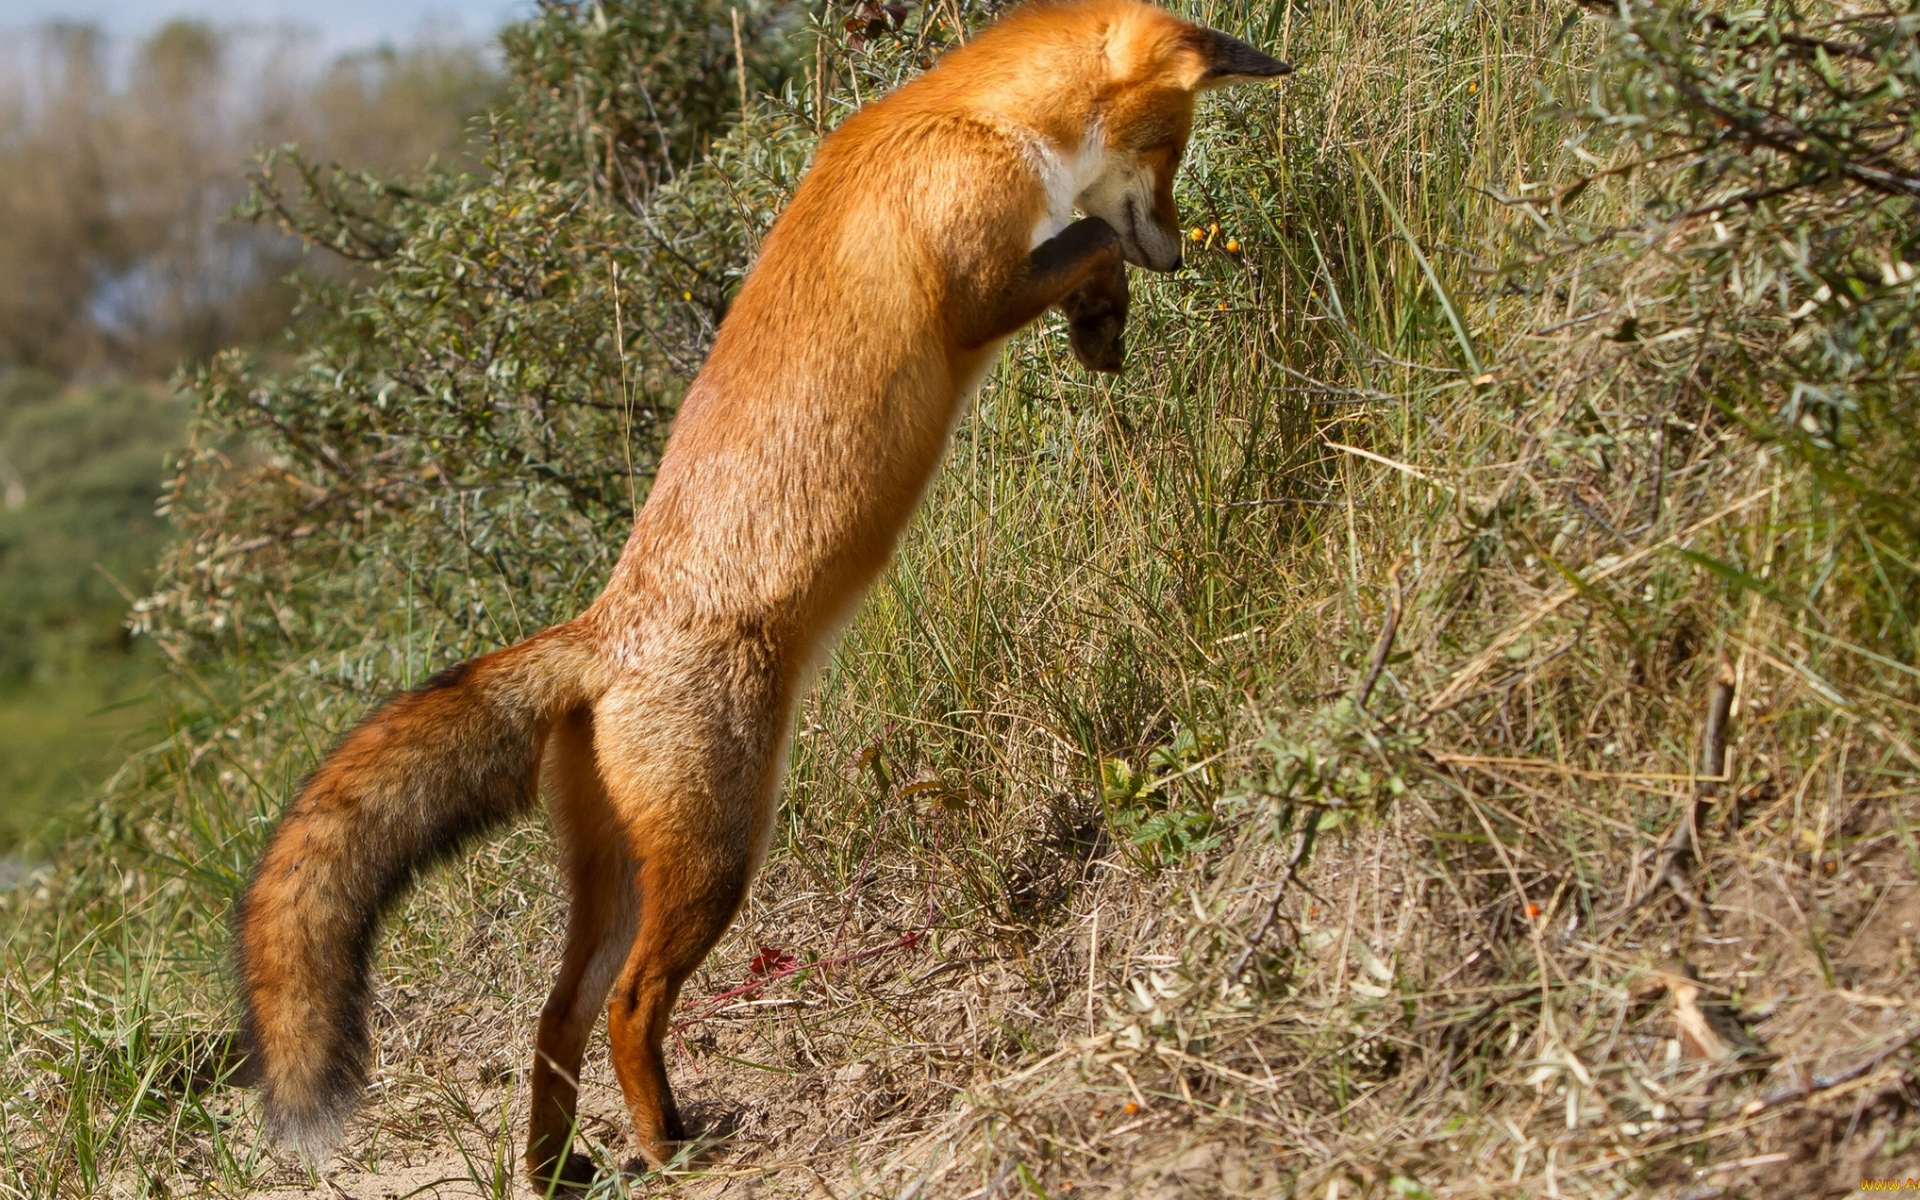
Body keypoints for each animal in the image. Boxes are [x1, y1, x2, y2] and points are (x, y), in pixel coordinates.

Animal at [236, 0, 1290, 1182]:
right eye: (1172, 149)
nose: (1179, 252)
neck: (968, 120)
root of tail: (602, 632)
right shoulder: (976, 293)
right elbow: (1087, 240)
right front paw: (1108, 302)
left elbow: (1088, 251)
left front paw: (1102, 328)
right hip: (717, 856)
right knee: (627, 1006)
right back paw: (666, 1142)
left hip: (627, 878)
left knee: (554, 1018)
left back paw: (560, 1172)